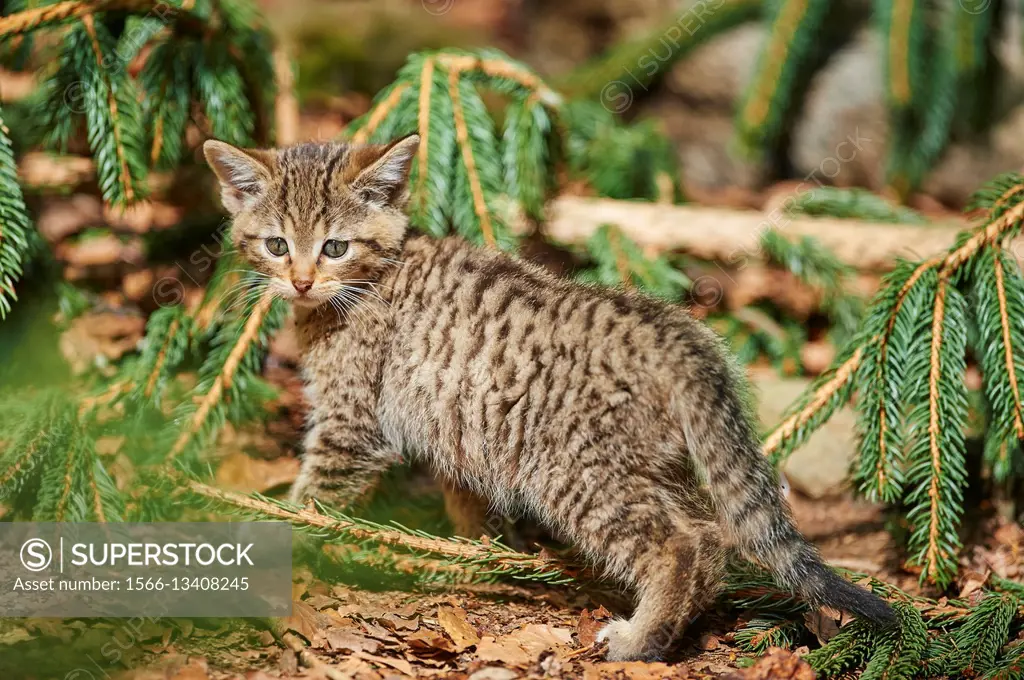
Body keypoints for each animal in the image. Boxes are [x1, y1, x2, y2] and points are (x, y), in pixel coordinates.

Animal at [203, 135, 892, 659]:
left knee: (680, 544)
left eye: (335, 247)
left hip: (577, 470)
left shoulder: (353, 422)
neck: (369, 283)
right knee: (708, 535)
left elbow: (310, 498)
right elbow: (466, 498)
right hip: (654, 461)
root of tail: (672, 331)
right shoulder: (456, 420)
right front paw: (474, 553)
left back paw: (641, 640)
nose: (300, 281)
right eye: (276, 244)